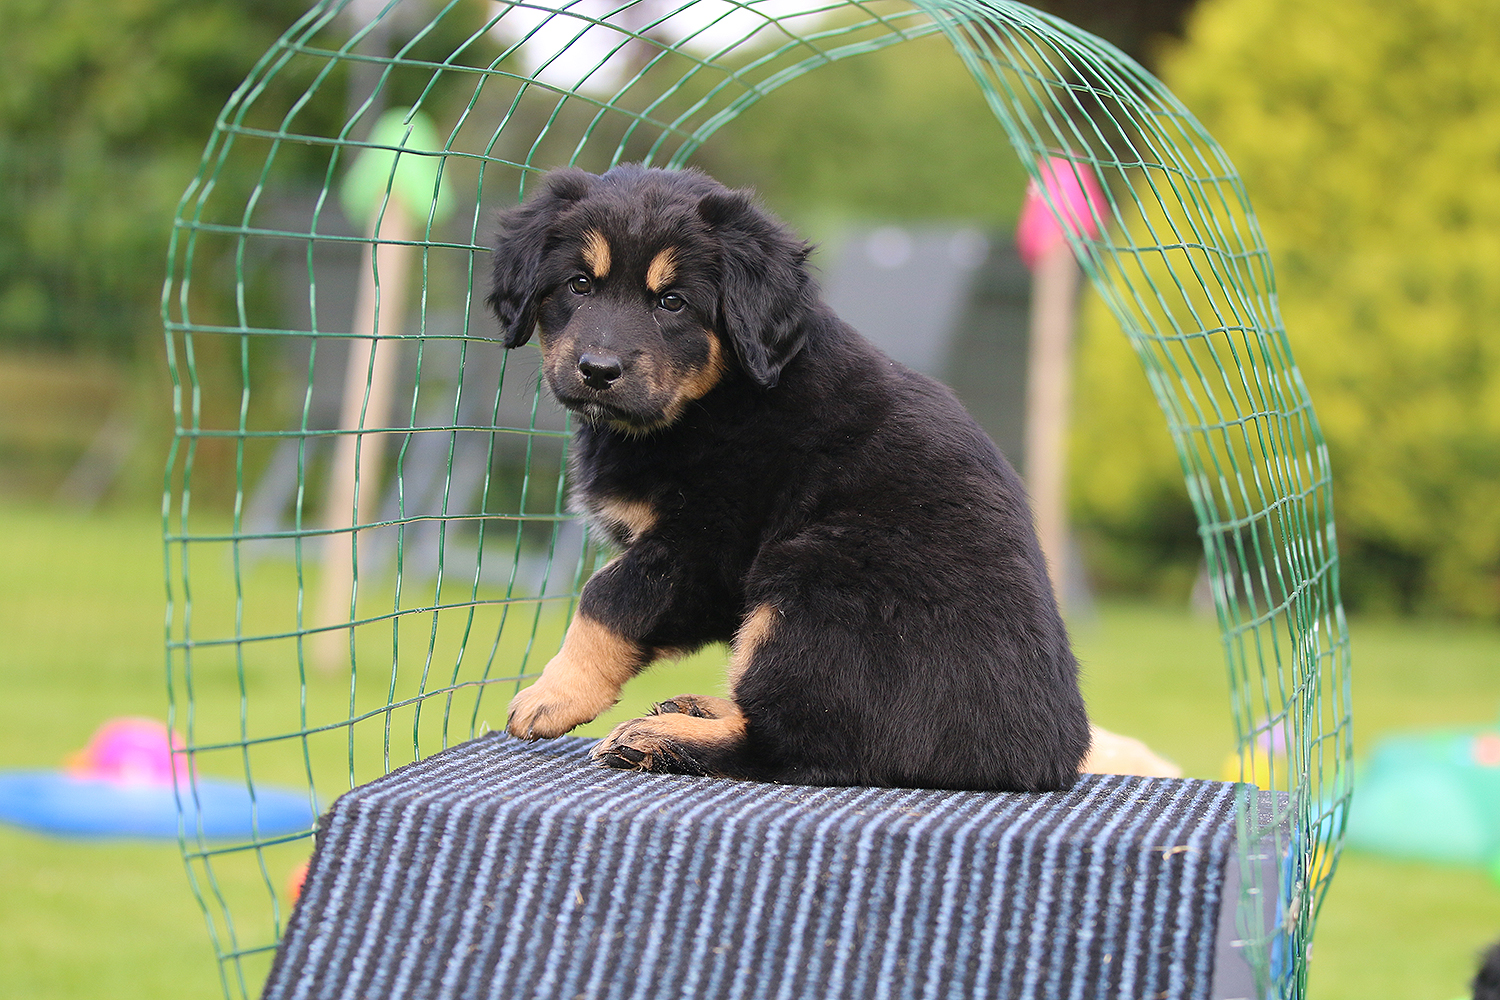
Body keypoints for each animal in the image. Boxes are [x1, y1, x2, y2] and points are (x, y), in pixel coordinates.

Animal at [487, 164, 1092, 791]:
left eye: (672, 302)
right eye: (579, 285)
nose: (598, 371)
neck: (716, 398)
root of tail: (1043, 759)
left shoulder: (702, 543)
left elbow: (605, 597)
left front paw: (552, 694)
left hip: (812, 581)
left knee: (803, 746)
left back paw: (661, 739)